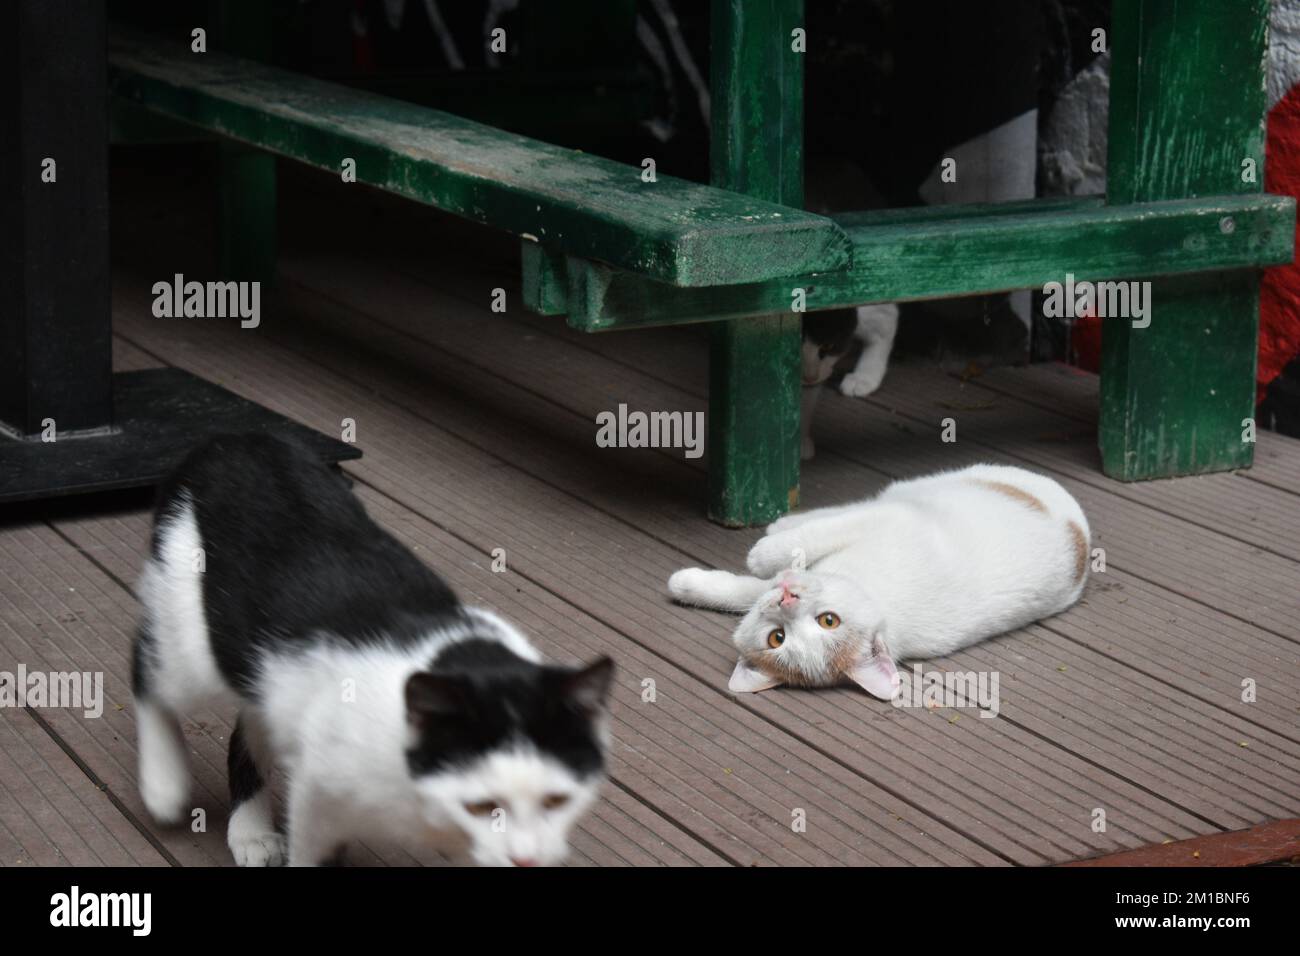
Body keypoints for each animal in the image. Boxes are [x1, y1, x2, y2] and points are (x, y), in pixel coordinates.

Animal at [134, 434, 611, 868]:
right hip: (194, 645)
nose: (525, 858)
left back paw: (250, 830)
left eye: (556, 800)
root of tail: (230, 440)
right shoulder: (319, 789)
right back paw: (164, 785)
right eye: (481, 806)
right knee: (147, 665)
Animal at [670, 465, 1086, 697]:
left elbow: (794, 549)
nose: (786, 599)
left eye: (828, 621)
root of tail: (1080, 530)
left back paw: (780, 525)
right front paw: (687, 585)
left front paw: (760, 553)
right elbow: (747, 589)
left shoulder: (888, 520)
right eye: (778, 637)